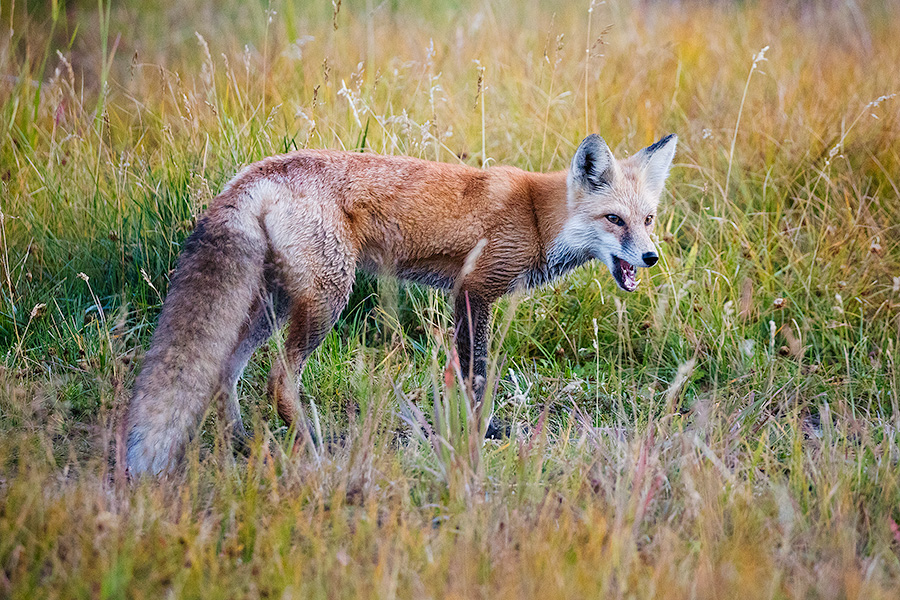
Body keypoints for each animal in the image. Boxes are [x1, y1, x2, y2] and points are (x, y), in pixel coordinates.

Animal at [125, 134, 676, 476]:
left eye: (647, 219)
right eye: (614, 220)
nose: (650, 257)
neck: (538, 218)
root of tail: (254, 174)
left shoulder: (464, 295)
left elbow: (468, 376)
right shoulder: (474, 291)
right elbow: (476, 376)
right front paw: (478, 434)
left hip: (273, 305)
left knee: (226, 371)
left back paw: (242, 442)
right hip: (327, 299)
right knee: (279, 379)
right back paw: (312, 449)